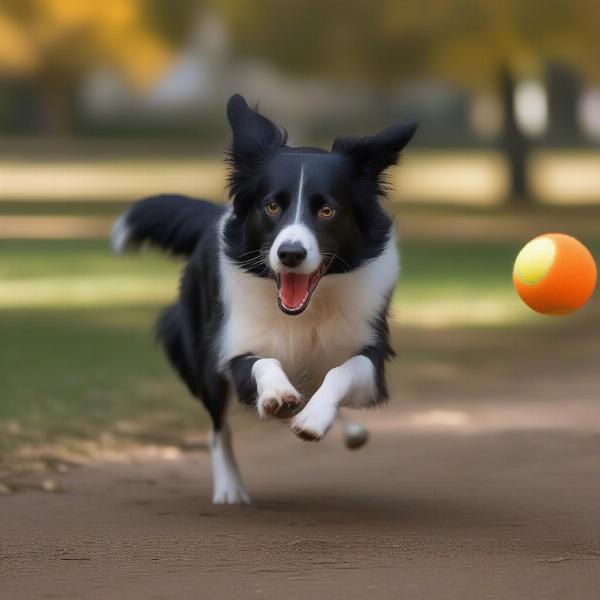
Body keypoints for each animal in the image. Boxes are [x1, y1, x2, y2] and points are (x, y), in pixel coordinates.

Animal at [113, 94, 418, 504]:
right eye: (272, 206)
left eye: (327, 210)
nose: (290, 253)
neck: (306, 312)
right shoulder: (235, 347)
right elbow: (263, 362)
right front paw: (277, 395)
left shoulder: (373, 357)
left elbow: (342, 370)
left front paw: (312, 418)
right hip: (202, 361)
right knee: (217, 428)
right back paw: (230, 487)